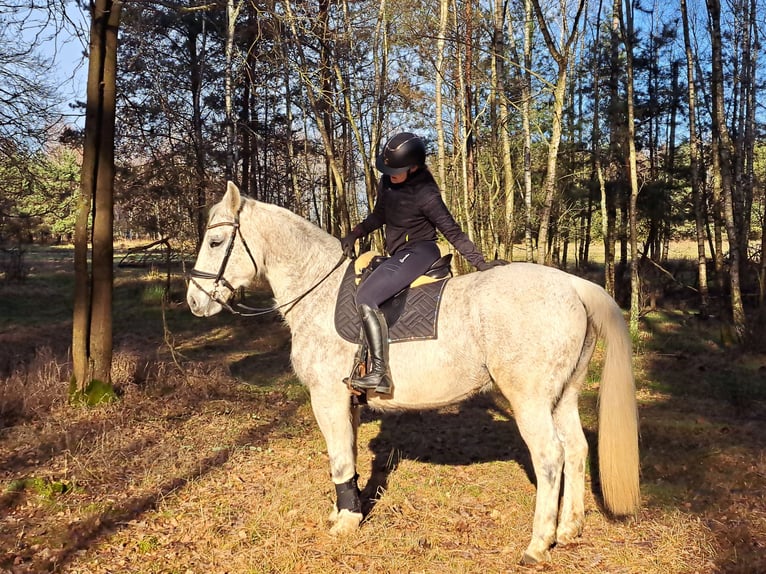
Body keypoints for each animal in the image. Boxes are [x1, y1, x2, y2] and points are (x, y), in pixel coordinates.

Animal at [186, 182, 640, 564]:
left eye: (215, 241)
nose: (194, 301)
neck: (319, 291)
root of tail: (572, 285)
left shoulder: (327, 397)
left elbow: (338, 458)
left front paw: (346, 521)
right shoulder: (349, 402)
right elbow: (349, 454)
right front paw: (348, 509)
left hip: (530, 400)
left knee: (550, 457)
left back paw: (538, 542)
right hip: (563, 396)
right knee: (577, 450)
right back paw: (569, 528)